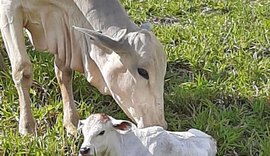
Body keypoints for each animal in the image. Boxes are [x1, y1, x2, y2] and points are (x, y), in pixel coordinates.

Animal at [0, 0, 167, 135]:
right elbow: (23, 70)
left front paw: (72, 122)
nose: (160, 125)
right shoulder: (9, 10)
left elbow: (64, 73)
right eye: (143, 72)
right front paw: (27, 127)